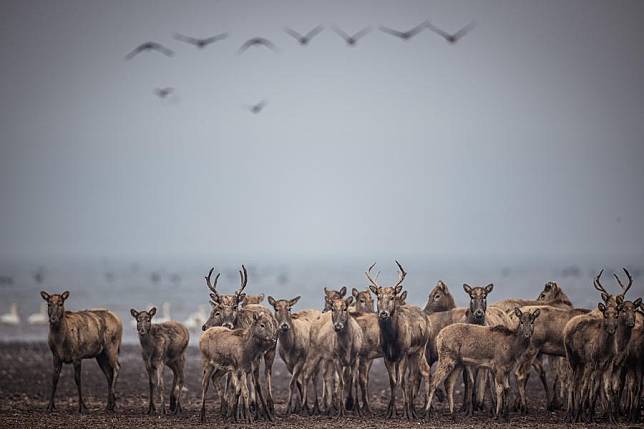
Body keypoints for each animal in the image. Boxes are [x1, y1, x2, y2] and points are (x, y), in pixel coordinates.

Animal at [368, 260, 432, 418]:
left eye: (392, 297)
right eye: (378, 297)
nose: (383, 313)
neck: (392, 340)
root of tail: (426, 317)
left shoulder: (403, 352)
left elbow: (402, 381)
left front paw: (405, 412)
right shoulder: (387, 355)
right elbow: (392, 381)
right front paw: (391, 411)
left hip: (420, 348)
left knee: (419, 373)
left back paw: (422, 411)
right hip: (412, 354)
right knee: (416, 374)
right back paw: (415, 408)